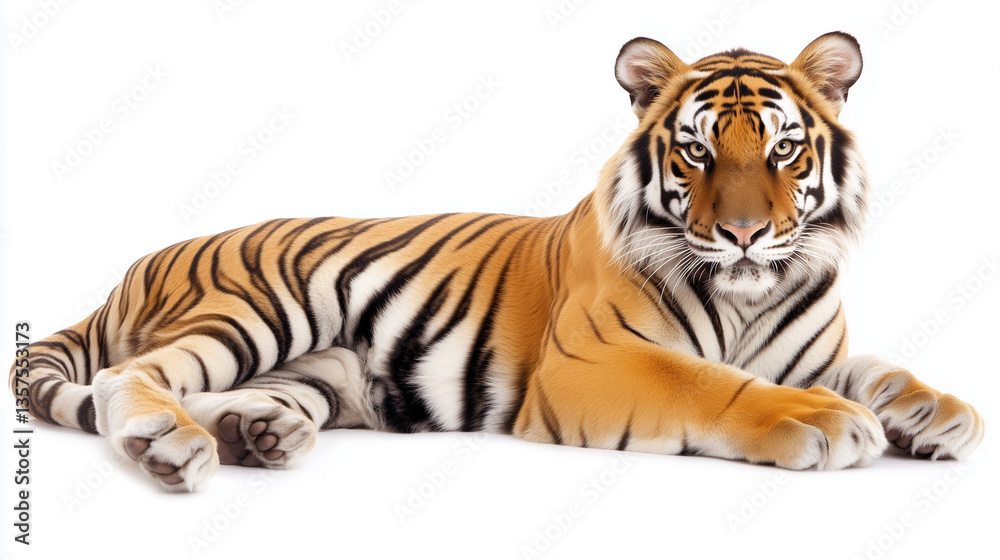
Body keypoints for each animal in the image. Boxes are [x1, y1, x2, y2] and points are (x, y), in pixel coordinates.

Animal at [9, 32, 984, 492]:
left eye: (782, 149)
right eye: (699, 152)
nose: (746, 234)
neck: (752, 291)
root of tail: (129, 267)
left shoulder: (811, 347)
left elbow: (873, 367)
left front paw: (938, 413)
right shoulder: (592, 362)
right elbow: (711, 384)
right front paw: (825, 422)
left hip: (317, 373)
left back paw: (256, 433)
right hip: (255, 309)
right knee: (131, 375)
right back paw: (168, 443)